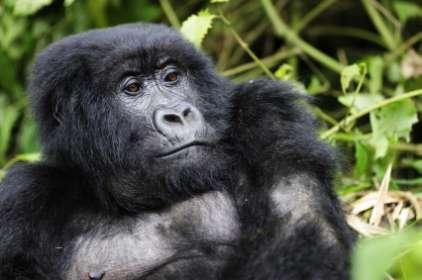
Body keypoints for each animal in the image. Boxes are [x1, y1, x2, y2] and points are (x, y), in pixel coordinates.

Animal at [0, 24, 354, 280]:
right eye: (132, 88)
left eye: (171, 76)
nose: (179, 114)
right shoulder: (23, 196)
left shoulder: (267, 114)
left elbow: (307, 237)